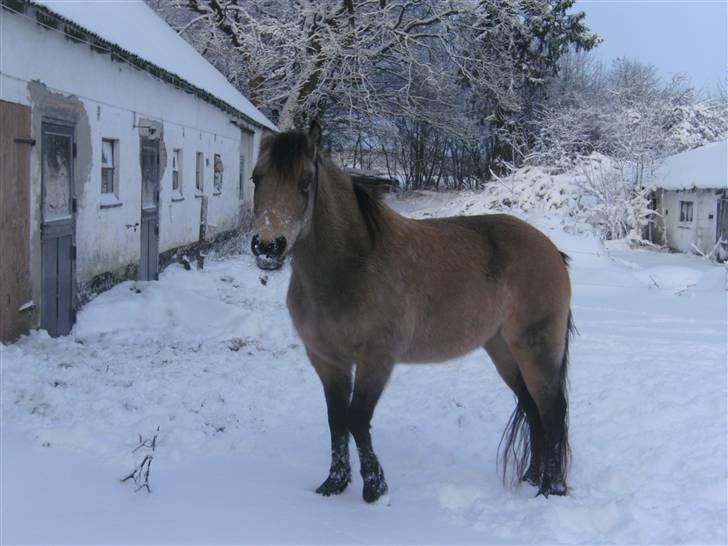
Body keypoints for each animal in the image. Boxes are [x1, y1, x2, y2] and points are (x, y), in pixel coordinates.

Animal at [250, 122, 576, 502]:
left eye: (305, 181)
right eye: (257, 178)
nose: (268, 246)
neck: (352, 266)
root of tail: (550, 250)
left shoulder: (377, 359)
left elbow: (357, 418)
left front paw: (375, 487)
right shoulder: (328, 360)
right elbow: (337, 420)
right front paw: (334, 483)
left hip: (536, 348)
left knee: (552, 410)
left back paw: (551, 489)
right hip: (503, 349)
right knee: (532, 407)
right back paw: (533, 478)